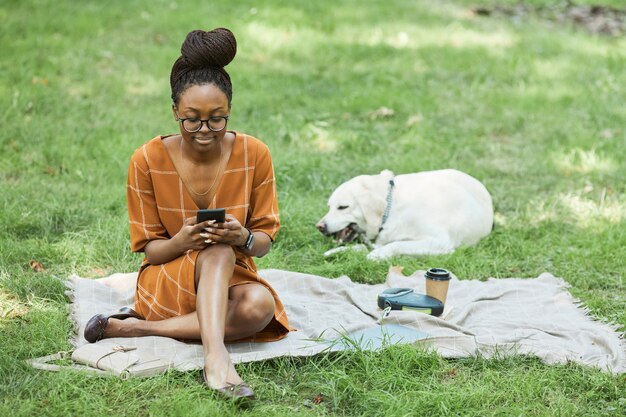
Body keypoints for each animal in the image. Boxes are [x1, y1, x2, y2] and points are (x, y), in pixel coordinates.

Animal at [316, 167, 492, 258]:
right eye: (329, 206)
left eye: (342, 207)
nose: (319, 226)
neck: (390, 208)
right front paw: (334, 251)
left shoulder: (440, 242)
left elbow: (397, 244)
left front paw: (377, 255)